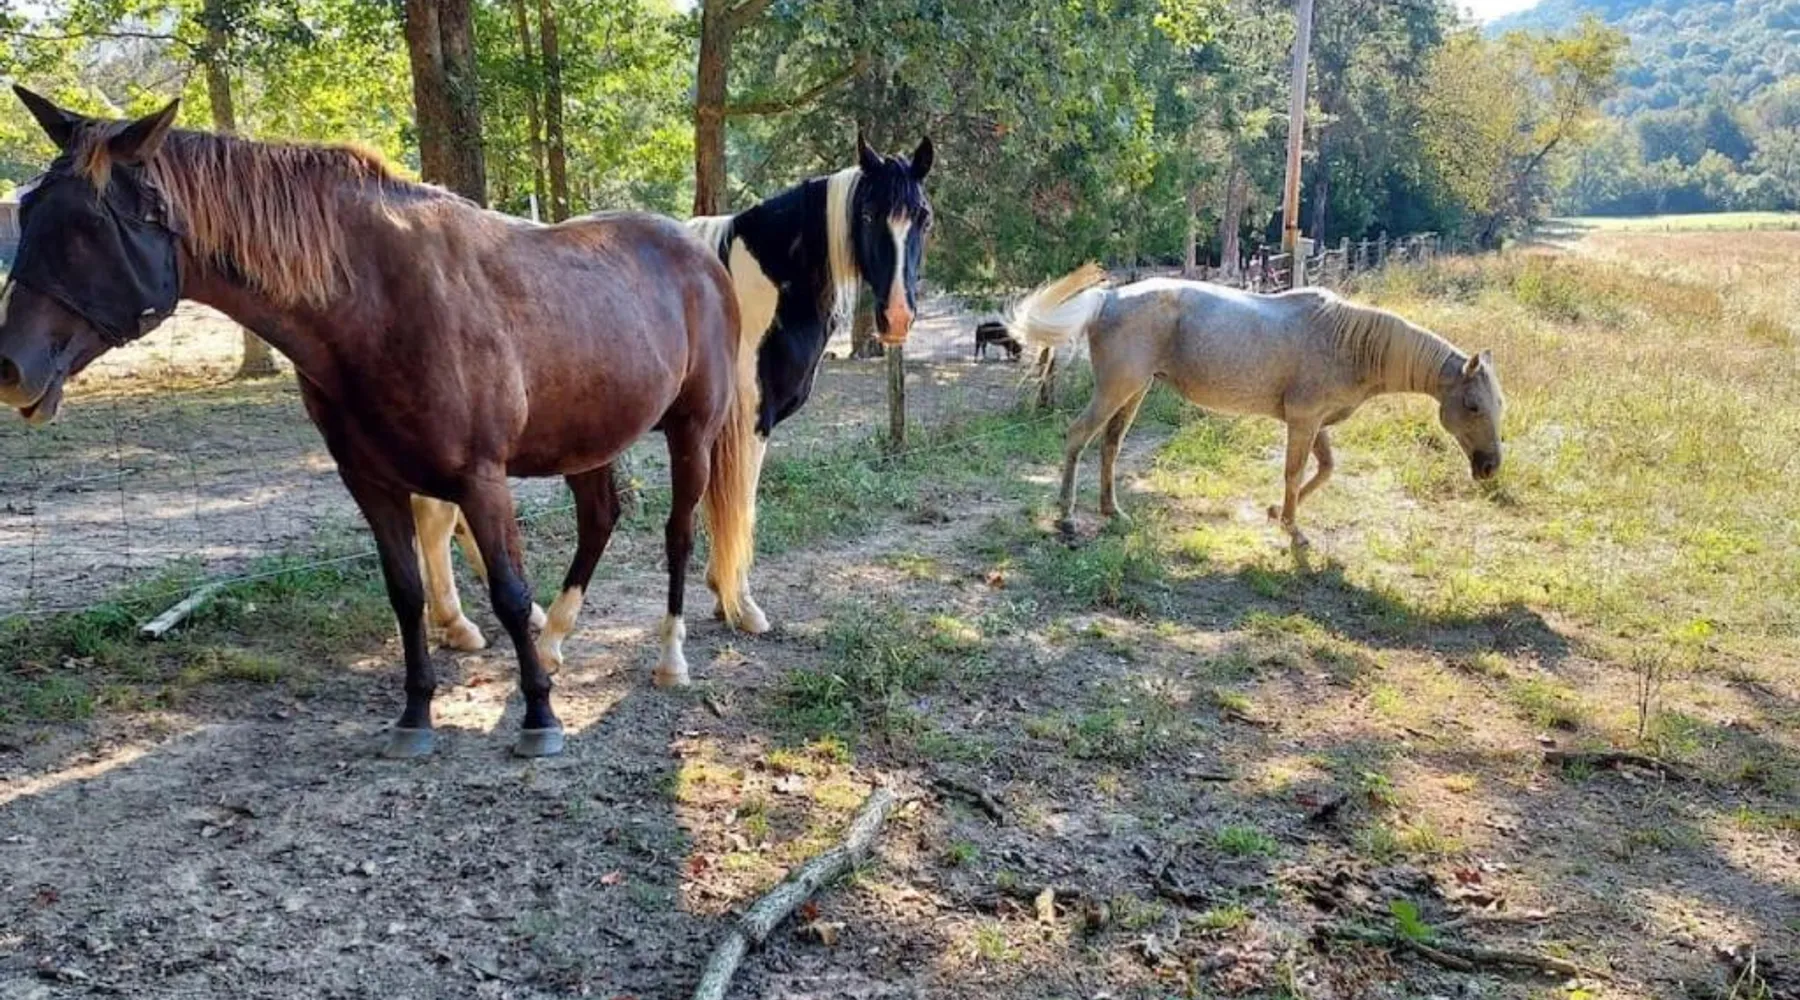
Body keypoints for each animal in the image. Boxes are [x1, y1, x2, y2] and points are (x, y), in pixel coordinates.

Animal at [0, 88, 760, 759]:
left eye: (89, 227)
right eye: (30, 209)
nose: (10, 368)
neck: (376, 300)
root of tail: (698, 253)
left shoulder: (481, 479)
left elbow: (509, 593)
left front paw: (539, 718)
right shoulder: (372, 482)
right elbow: (405, 592)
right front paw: (416, 715)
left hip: (692, 431)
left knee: (678, 532)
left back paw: (668, 658)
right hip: (588, 440)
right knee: (599, 520)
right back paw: (554, 646)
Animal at [413, 136, 935, 663]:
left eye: (924, 217)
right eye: (867, 213)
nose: (896, 317)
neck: (761, 283)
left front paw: (721, 593)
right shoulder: (749, 424)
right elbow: (740, 507)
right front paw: (742, 604)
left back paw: (490, 621)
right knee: (437, 519)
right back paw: (463, 624)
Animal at [1008, 264, 1504, 547]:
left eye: (1499, 405)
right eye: (1473, 406)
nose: (1490, 467)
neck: (1347, 344)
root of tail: (1109, 297)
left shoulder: (1316, 424)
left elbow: (1325, 469)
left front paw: (1277, 514)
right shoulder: (1303, 422)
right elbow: (1295, 471)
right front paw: (1294, 529)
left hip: (1133, 393)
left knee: (1110, 445)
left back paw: (1112, 511)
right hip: (1116, 390)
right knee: (1078, 436)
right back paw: (1067, 519)